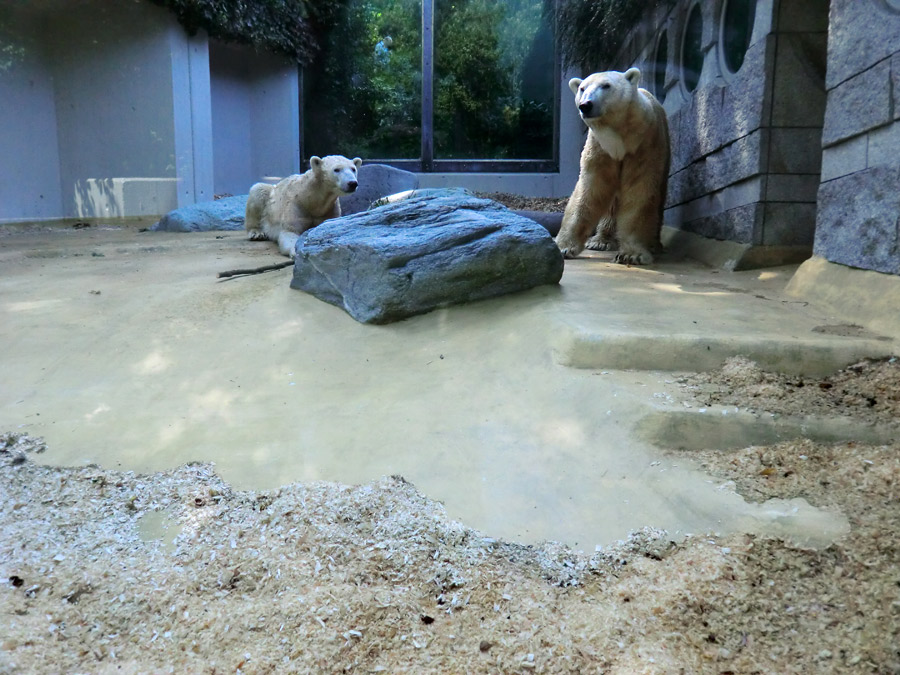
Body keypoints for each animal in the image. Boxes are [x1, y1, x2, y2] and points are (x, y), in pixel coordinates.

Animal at [556, 68, 668, 264]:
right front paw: (563, 247)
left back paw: (654, 244)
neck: (619, 139)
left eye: (606, 85)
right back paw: (600, 241)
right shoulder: (600, 149)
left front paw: (631, 254)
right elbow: (591, 189)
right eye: (582, 88)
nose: (585, 105)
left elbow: (640, 192)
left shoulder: (645, 146)